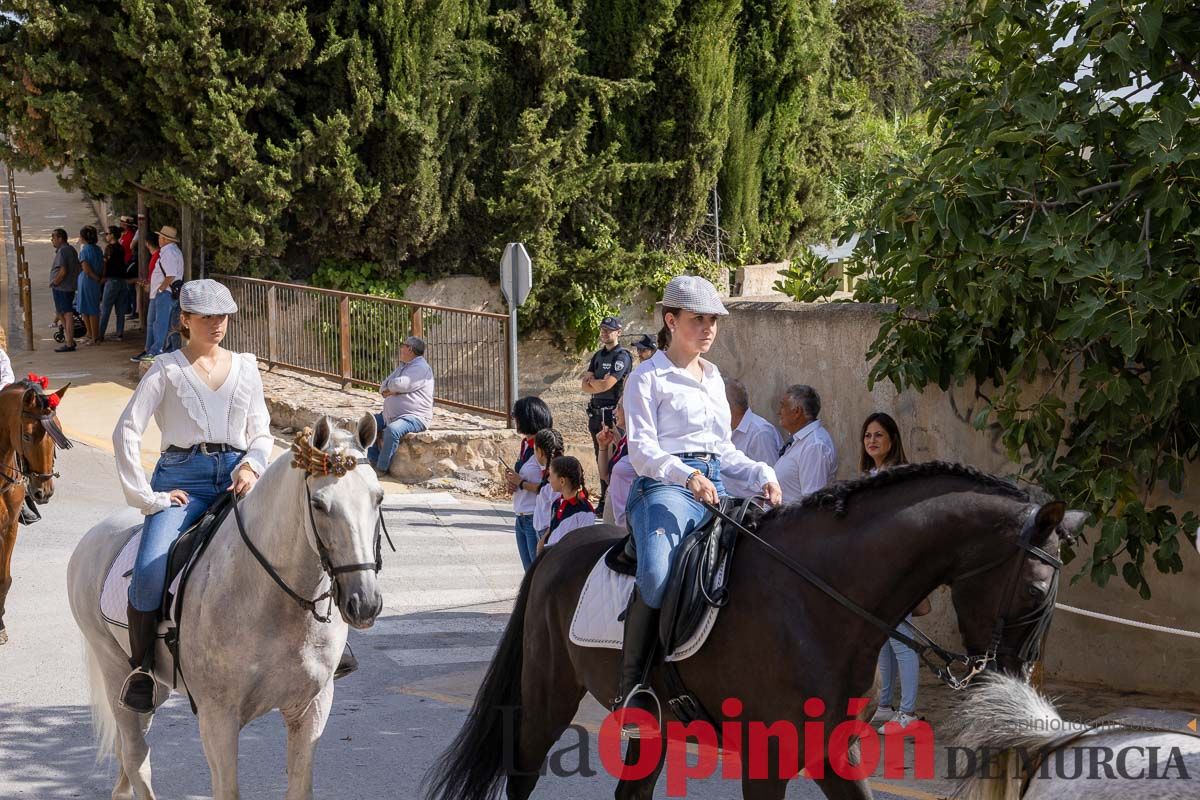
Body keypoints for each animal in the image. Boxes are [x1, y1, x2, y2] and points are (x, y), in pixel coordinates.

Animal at [69, 417, 384, 800]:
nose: (364, 603)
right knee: (135, 756)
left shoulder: (311, 708)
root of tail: (92, 538)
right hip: (114, 669)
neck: (273, 600)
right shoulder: (218, 719)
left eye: (378, 498)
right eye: (320, 504)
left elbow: (299, 787)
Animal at [422, 462, 1089, 800]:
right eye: (1035, 593)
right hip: (547, 696)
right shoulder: (768, 756)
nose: (1013, 693)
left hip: (652, 724)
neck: (819, 600)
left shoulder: (833, 750)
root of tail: (556, 550)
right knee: (522, 773)